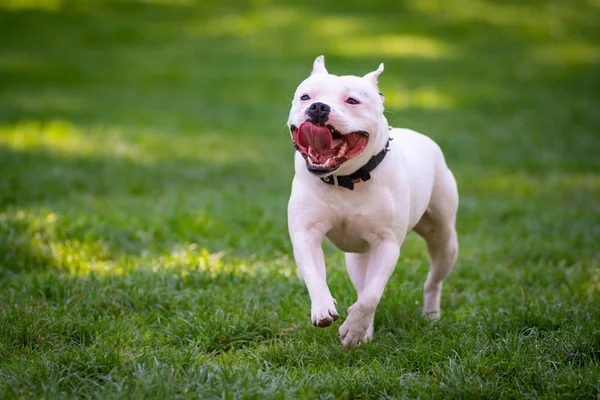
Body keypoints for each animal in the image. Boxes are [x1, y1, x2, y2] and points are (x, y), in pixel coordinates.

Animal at [286, 55, 460, 346]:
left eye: (352, 100)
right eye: (305, 96)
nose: (318, 107)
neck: (346, 179)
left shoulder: (386, 244)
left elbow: (371, 295)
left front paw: (353, 329)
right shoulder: (305, 233)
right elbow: (315, 276)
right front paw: (324, 309)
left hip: (444, 240)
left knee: (432, 280)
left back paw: (430, 315)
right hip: (357, 257)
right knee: (361, 283)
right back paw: (365, 331)